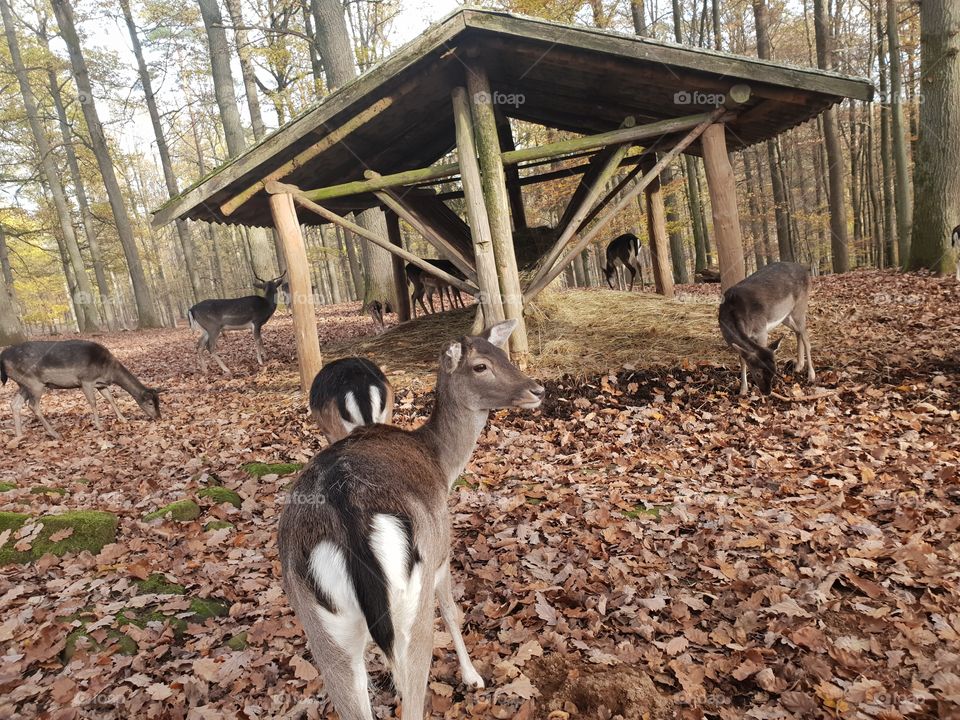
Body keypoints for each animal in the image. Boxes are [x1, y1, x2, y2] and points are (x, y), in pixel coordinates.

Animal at [0, 340, 160, 439]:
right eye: (150, 403)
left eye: (159, 402)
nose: (159, 417)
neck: (109, 370)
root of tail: (2, 359)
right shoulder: (86, 380)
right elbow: (93, 402)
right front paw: (99, 426)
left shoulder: (101, 384)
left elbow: (110, 398)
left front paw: (123, 419)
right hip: (34, 383)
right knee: (33, 406)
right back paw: (55, 434)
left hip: (23, 384)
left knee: (14, 404)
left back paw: (19, 436)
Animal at [278, 319, 544, 720]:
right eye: (481, 365)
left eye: (504, 353)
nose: (537, 389)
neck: (440, 464)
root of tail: (346, 522)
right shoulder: (441, 552)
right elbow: (451, 611)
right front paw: (473, 677)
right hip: (412, 611)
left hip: (322, 630)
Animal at [718, 262, 815, 396]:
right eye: (758, 374)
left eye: (774, 371)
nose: (767, 392)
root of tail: (805, 269)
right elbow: (742, 359)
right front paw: (743, 390)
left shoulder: (761, 330)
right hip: (785, 315)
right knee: (798, 331)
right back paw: (798, 366)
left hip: (800, 305)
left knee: (806, 337)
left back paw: (811, 375)